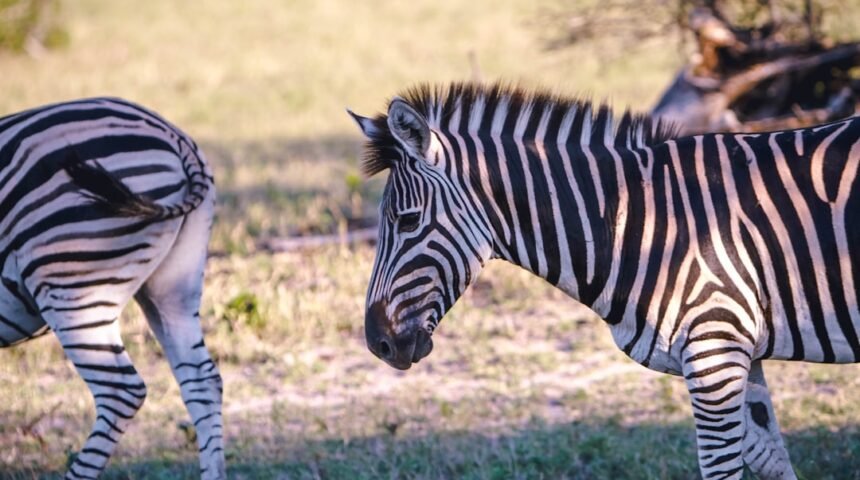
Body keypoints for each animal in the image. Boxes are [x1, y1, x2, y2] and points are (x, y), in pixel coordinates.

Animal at [349, 82, 860, 480]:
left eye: (409, 221)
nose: (378, 343)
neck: (642, 219)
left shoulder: (714, 347)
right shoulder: (739, 350)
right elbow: (770, 458)